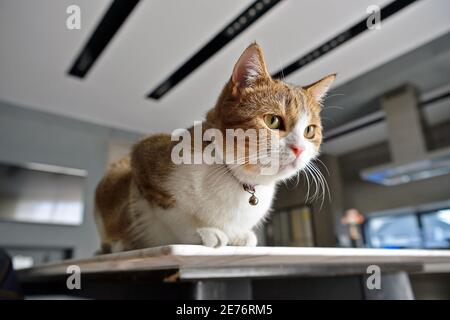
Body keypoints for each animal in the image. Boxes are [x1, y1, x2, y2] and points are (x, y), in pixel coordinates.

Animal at [94, 43, 334, 252]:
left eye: (309, 131)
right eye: (273, 121)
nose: (299, 148)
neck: (235, 180)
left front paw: (239, 235)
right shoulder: (143, 157)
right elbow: (172, 213)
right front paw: (202, 232)